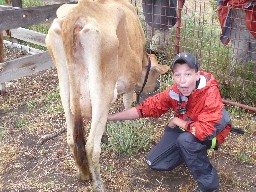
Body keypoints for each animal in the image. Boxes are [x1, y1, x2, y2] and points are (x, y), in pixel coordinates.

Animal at [45, 0, 170, 191]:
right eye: (156, 75)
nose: (156, 85)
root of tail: (77, 12)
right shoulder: (128, 82)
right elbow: (127, 103)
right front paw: (130, 125)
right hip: (103, 90)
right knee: (90, 147)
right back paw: (98, 184)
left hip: (64, 88)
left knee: (72, 138)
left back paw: (83, 173)